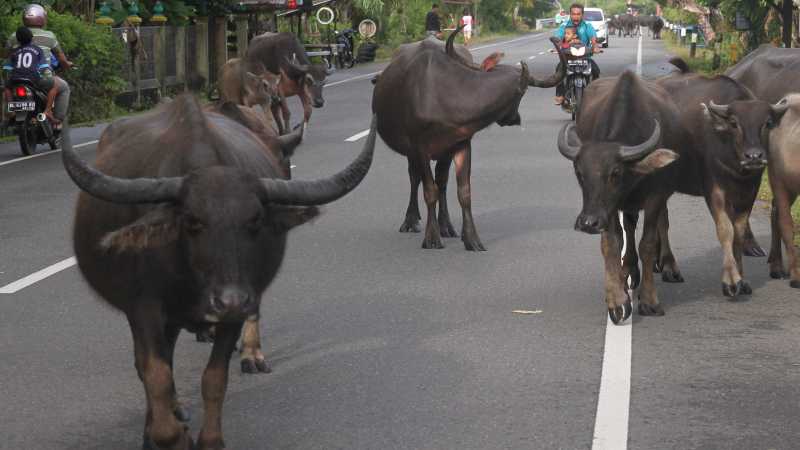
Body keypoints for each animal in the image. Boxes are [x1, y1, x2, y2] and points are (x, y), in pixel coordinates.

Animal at [372, 28, 564, 251]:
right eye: (521, 94)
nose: (514, 119)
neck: (445, 99)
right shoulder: (420, 147)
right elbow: (429, 190)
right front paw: (432, 237)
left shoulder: (461, 143)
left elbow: (464, 192)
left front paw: (471, 238)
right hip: (413, 152)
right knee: (415, 177)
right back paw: (411, 221)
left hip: (443, 153)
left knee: (442, 181)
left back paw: (446, 225)